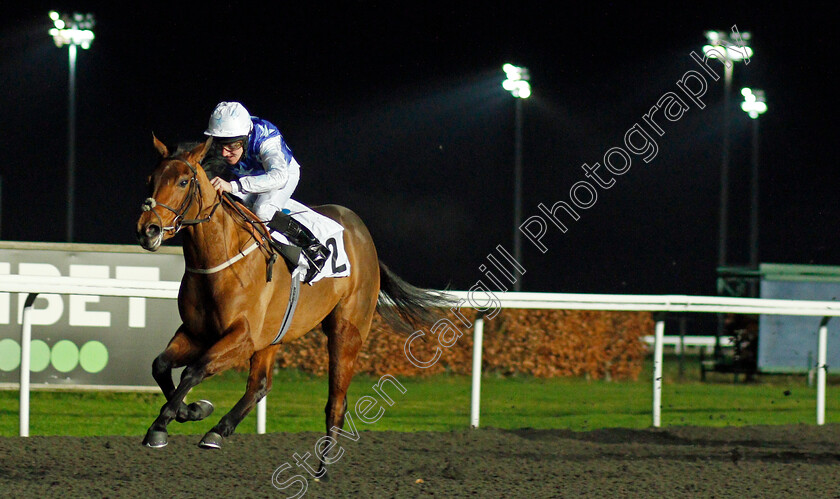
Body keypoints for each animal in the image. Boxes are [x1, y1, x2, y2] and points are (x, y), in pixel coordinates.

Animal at [137, 138, 450, 472]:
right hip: (273, 335)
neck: (220, 260)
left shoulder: (243, 338)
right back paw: (219, 431)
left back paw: (323, 465)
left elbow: (193, 371)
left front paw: (161, 425)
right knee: (260, 385)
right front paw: (193, 410)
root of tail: (363, 236)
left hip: (346, 330)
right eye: (150, 179)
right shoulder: (198, 333)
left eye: (184, 182)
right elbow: (160, 365)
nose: (148, 229)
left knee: (336, 399)